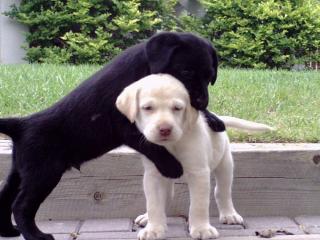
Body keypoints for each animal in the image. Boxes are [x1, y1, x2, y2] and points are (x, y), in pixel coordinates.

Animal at [0, 31, 225, 240]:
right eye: (186, 72)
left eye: (209, 77)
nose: (202, 102)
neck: (144, 69)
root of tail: (21, 124)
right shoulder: (124, 124)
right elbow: (150, 144)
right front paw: (171, 166)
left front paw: (213, 119)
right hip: (43, 173)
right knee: (21, 205)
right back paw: (35, 235)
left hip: (22, 171)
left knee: (6, 195)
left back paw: (8, 230)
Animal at [116, 74, 274, 239]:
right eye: (148, 108)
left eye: (177, 108)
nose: (165, 129)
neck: (174, 144)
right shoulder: (154, 175)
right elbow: (154, 203)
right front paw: (153, 229)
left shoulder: (199, 173)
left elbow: (199, 205)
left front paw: (201, 229)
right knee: (167, 197)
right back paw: (147, 217)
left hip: (225, 163)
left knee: (222, 191)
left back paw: (229, 214)